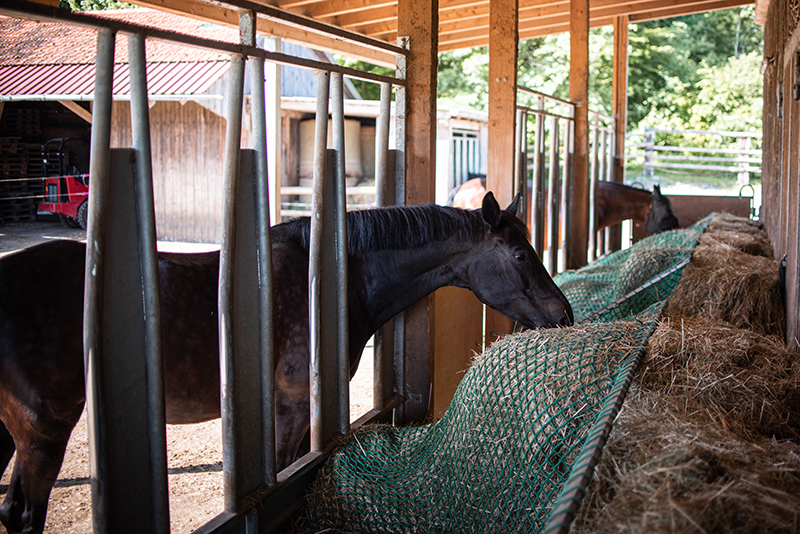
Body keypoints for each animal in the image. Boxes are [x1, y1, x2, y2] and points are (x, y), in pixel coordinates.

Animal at [1, 193, 576, 534]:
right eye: (521, 255)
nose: (564, 315)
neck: (334, 279)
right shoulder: (291, 409)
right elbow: (279, 481)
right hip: (42, 433)